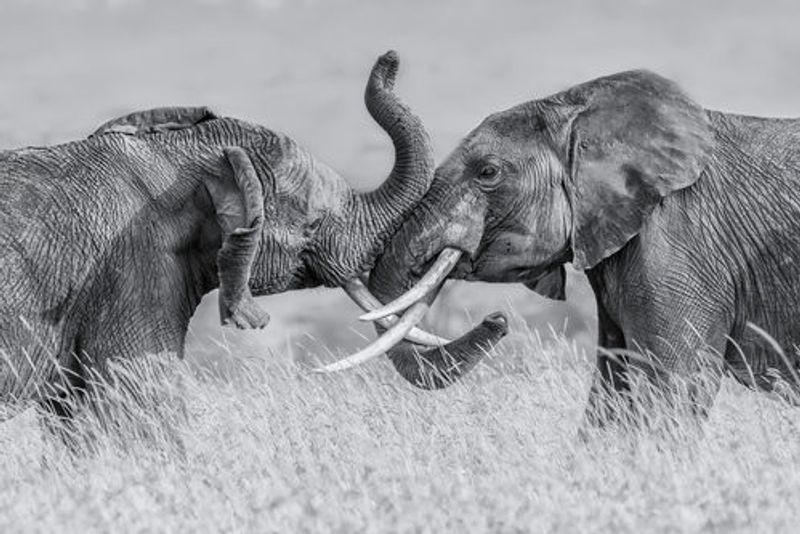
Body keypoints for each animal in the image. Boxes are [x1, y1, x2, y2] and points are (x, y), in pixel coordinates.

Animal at [324, 68, 800, 420]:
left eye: (488, 172)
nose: (498, 320)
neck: (579, 109)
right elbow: (611, 391)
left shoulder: (680, 241)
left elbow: (673, 389)